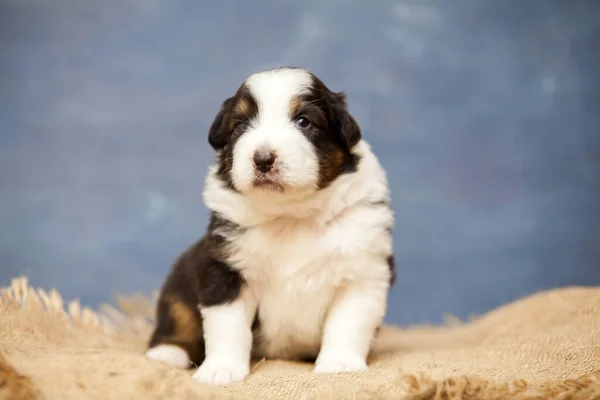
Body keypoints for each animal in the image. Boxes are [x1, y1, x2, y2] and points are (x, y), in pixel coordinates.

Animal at [146, 67, 396, 386]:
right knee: (177, 315)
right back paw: (167, 354)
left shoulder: (363, 272)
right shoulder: (225, 269)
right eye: (240, 125)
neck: (291, 215)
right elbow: (227, 326)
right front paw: (221, 370)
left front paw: (340, 364)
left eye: (304, 121)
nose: (263, 159)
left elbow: (348, 322)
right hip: (181, 275)